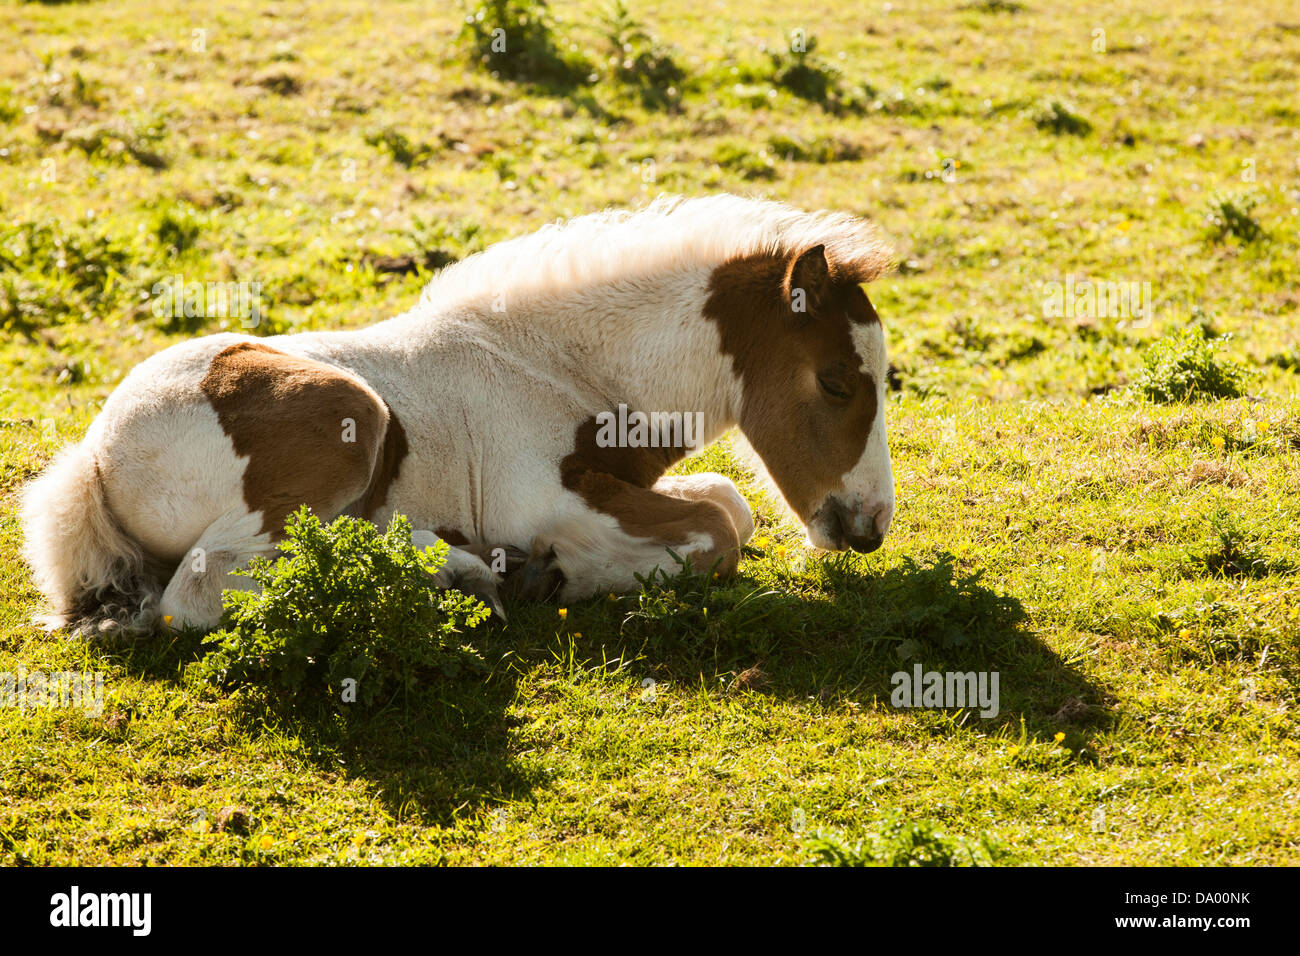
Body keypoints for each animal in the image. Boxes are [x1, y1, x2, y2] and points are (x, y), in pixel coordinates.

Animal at [20, 194, 897, 636]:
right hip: (350, 415)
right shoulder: (536, 498)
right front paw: (560, 572)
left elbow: (731, 504)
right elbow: (718, 532)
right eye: (835, 383)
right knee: (197, 594)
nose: (868, 527)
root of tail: (93, 458)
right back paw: (473, 574)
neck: (557, 364)